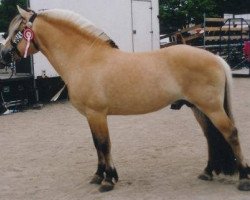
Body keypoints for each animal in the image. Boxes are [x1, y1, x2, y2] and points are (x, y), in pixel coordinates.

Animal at [0, 6, 250, 192]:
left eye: (17, 30)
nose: (3, 55)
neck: (84, 59)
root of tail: (216, 58)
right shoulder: (91, 117)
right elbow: (97, 145)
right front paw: (98, 175)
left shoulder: (97, 114)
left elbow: (104, 144)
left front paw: (108, 180)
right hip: (198, 108)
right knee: (210, 137)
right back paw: (207, 172)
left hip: (212, 107)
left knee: (231, 133)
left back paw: (243, 179)